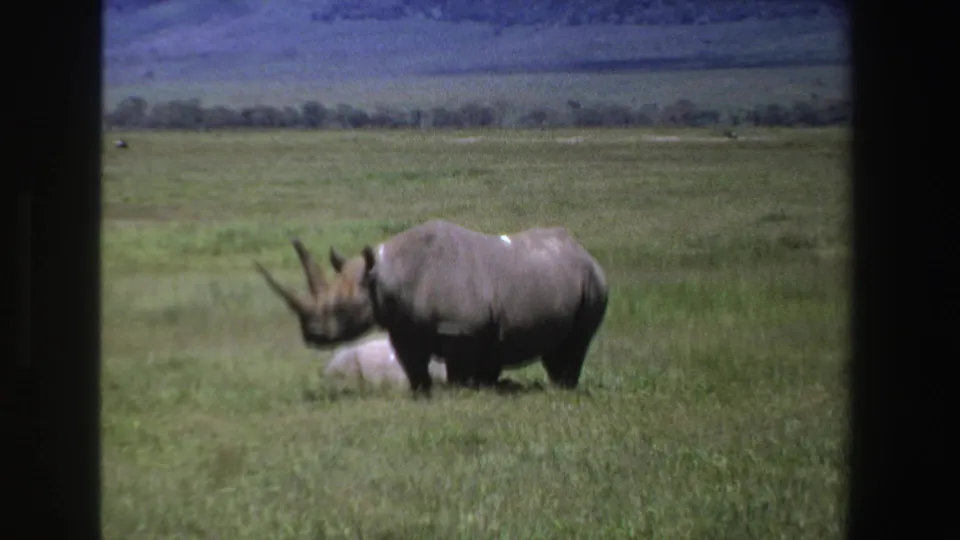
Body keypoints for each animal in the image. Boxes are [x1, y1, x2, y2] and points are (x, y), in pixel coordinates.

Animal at [255, 219, 608, 396]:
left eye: (341, 309)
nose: (311, 335)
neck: (385, 275)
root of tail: (584, 251)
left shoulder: (460, 327)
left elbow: (458, 369)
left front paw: (460, 394)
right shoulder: (402, 325)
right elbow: (413, 365)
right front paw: (421, 395)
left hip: (593, 283)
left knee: (576, 344)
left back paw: (562, 390)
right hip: (554, 275)